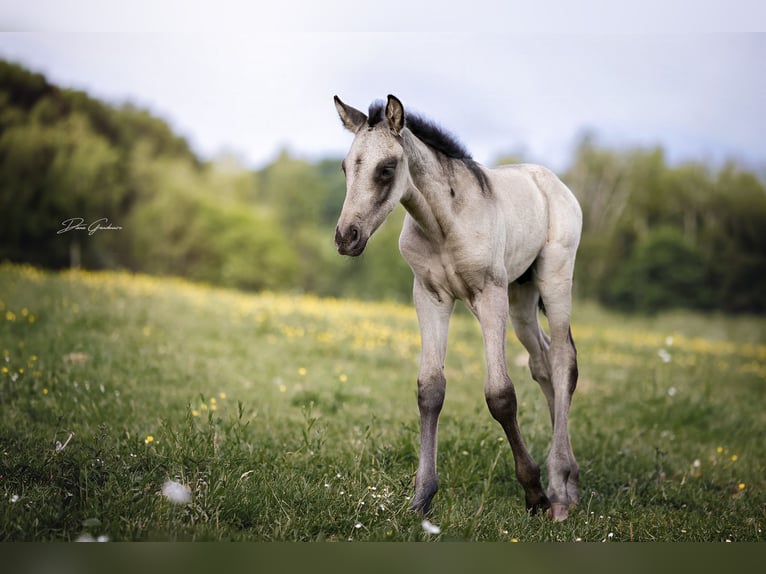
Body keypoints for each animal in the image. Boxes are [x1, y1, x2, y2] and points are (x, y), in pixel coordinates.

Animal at [333, 94, 582, 521]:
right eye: (347, 167)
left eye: (387, 168)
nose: (346, 237)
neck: (444, 224)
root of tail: (553, 182)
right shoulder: (430, 296)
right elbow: (430, 390)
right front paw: (421, 498)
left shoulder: (489, 294)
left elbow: (500, 395)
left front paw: (533, 493)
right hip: (521, 297)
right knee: (543, 362)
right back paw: (567, 482)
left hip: (554, 278)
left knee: (565, 359)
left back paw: (560, 489)